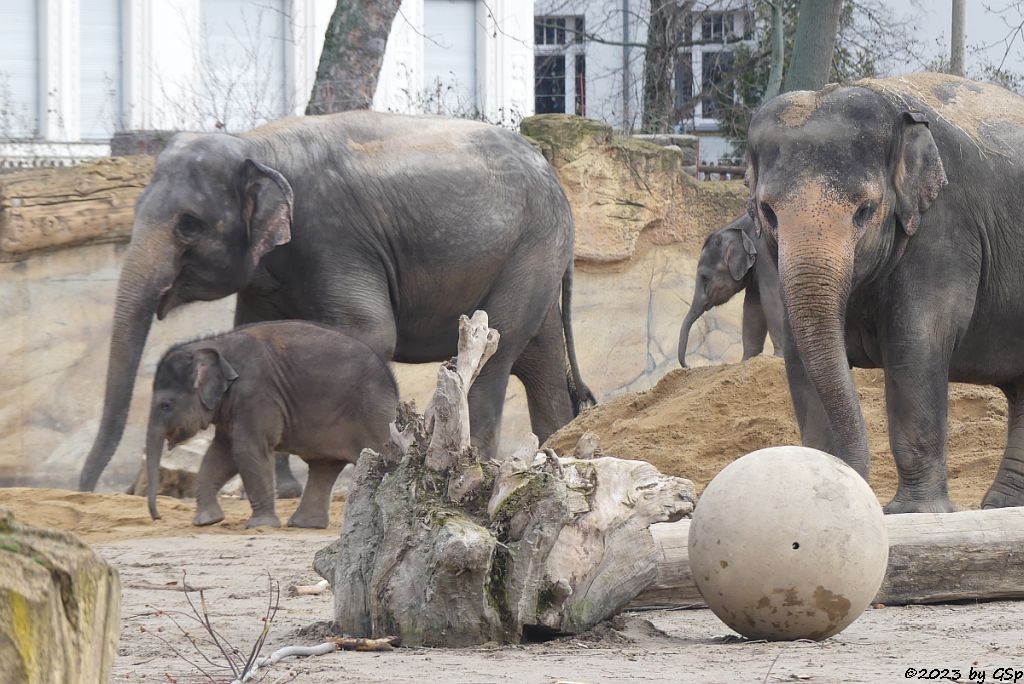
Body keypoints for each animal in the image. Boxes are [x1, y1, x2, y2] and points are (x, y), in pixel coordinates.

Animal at [79, 113, 593, 497]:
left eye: (189, 225)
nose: (87, 491)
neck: (256, 145)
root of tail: (553, 176)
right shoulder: (268, 270)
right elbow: (258, 335)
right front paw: (280, 489)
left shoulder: (335, 235)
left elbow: (371, 333)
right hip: (534, 256)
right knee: (541, 361)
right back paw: (554, 454)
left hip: (531, 249)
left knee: (497, 352)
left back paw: (480, 464)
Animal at [143, 321, 395, 528]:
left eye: (166, 405)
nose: (157, 517)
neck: (214, 345)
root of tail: (391, 380)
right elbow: (221, 455)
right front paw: (207, 521)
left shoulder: (255, 394)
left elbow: (246, 450)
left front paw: (261, 525)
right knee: (323, 466)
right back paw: (304, 525)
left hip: (371, 413)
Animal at [679, 216, 782, 370]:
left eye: (705, 277)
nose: (688, 365)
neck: (738, 228)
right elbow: (753, 306)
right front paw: (746, 361)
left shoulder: (765, 251)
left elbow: (771, 295)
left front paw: (779, 357)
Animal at [745, 74, 1024, 511]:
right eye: (768, 213)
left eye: (865, 210)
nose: (853, 483)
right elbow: (798, 356)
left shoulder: (944, 227)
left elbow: (916, 345)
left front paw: (914, 512)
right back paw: (1002, 505)